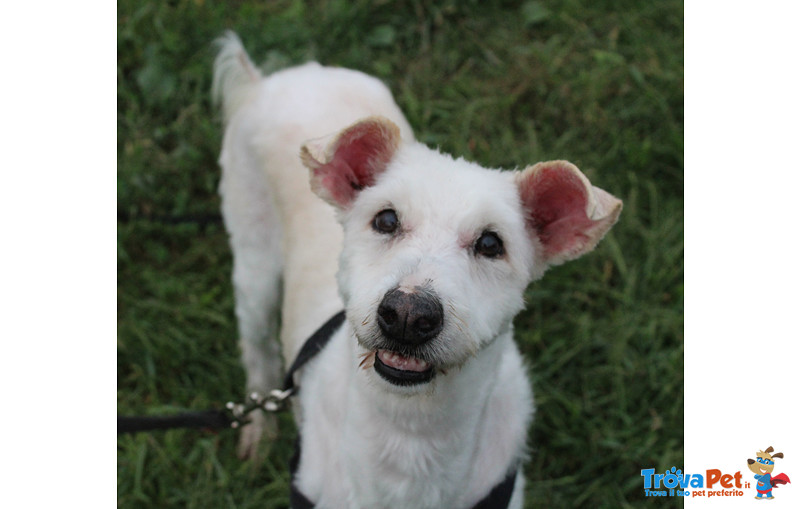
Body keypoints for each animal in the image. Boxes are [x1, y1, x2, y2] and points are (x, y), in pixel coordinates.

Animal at [214, 32, 624, 508]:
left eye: (491, 243)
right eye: (386, 219)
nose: (408, 315)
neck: (409, 434)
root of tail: (266, 80)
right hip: (253, 262)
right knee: (258, 353)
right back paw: (258, 430)